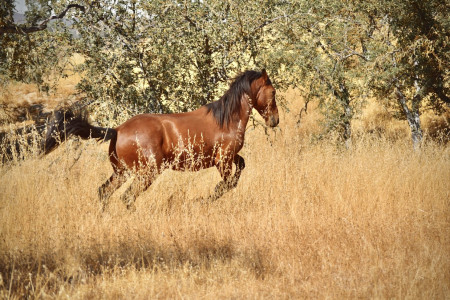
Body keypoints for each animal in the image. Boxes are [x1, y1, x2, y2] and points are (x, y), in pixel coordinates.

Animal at [44, 69, 278, 209]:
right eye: (273, 92)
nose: (275, 120)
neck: (227, 120)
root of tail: (117, 130)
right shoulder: (223, 159)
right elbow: (228, 183)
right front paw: (203, 200)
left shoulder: (229, 157)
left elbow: (240, 168)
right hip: (147, 172)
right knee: (127, 197)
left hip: (121, 172)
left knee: (104, 192)